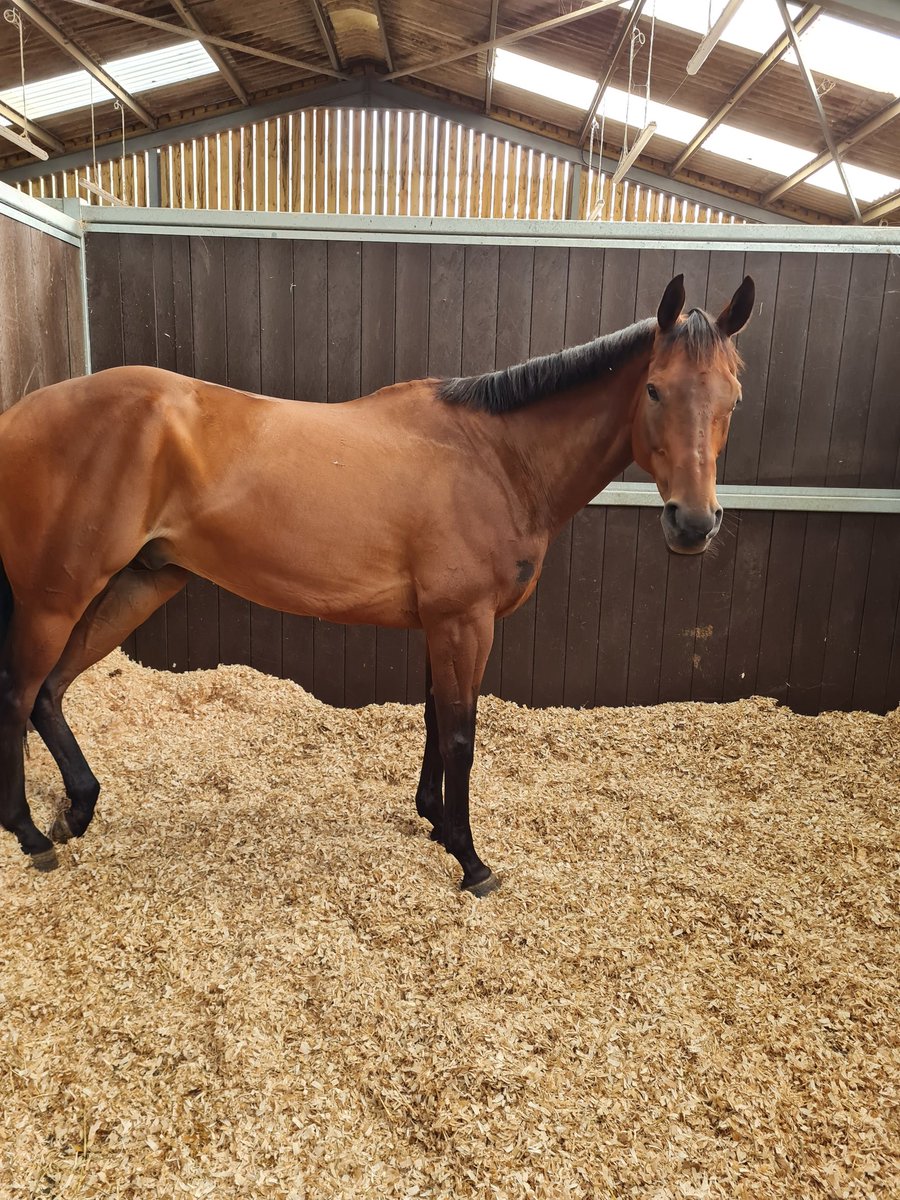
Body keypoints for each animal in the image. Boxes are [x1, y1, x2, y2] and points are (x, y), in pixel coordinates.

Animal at [0, 272, 754, 893]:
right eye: (654, 388)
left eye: (733, 399)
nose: (693, 524)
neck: (497, 459)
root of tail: (18, 416)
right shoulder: (465, 621)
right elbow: (460, 735)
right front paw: (472, 861)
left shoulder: (442, 623)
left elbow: (433, 718)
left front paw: (436, 824)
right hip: (54, 598)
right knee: (19, 693)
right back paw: (31, 835)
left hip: (135, 584)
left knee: (51, 693)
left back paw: (77, 808)